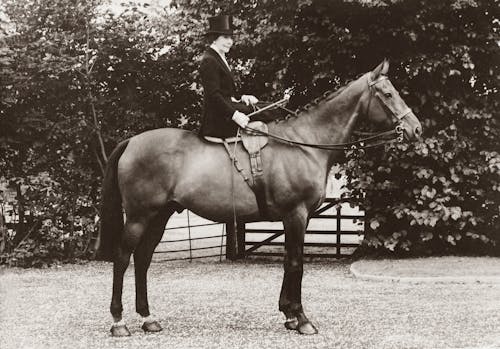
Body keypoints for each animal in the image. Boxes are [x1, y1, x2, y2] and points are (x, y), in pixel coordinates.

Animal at [95, 59, 420, 334]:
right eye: (388, 94)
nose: (416, 129)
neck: (303, 143)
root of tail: (131, 141)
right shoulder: (296, 215)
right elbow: (296, 263)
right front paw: (302, 319)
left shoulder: (297, 218)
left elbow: (289, 260)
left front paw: (289, 314)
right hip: (139, 216)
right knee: (123, 258)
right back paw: (118, 321)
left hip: (160, 216)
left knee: (143, 259)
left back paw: (148, 318)